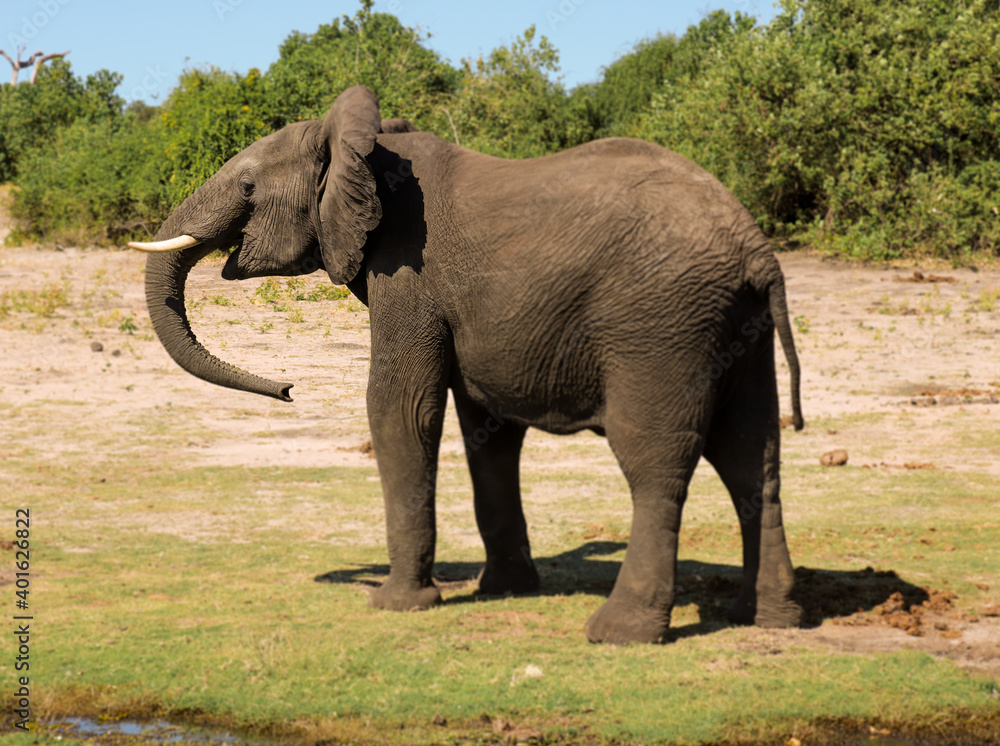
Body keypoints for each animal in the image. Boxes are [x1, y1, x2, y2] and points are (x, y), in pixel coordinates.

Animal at [129, 85, 804, 644]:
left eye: (247, 187)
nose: (290, 388)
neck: (369, 150)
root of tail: (757, 251)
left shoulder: (407, 273)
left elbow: (401, 410)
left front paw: (397, 605)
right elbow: (490, 431)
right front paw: (503, 590)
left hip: (659, 325)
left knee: (655, 464)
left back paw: (619, 634)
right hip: (737, 330)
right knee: (752, 459)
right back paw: (766, 618)